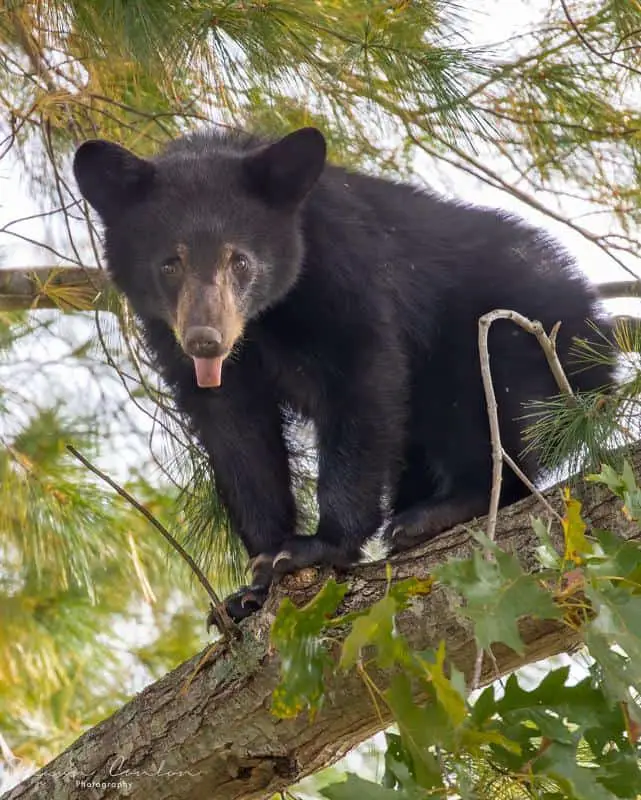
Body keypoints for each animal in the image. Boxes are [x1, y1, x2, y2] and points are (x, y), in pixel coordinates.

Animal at [72, 128, 612, 620]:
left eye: (239, 259)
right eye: (170, 263)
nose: (206, 339)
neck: (266, 320)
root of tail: (592, 318)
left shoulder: (346, 276)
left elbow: (362, 386)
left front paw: (317, 545)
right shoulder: (183, 348)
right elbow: (237, 436)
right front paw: (254, 582)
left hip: (507, 337)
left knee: (481, 410)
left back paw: (436, 511)